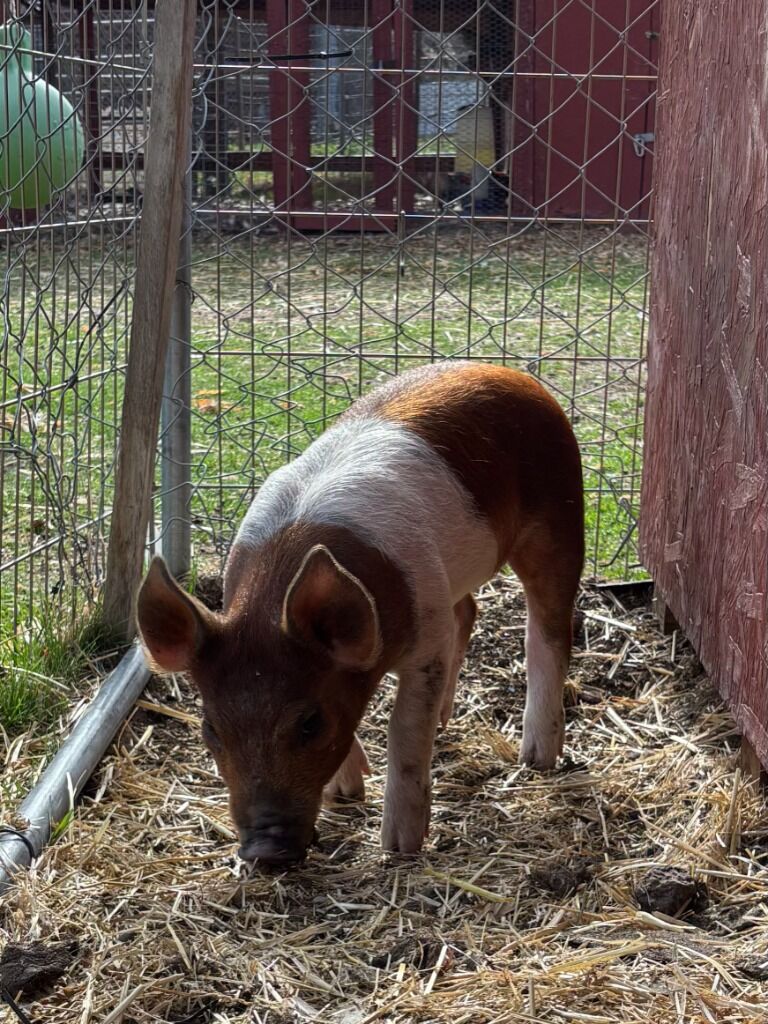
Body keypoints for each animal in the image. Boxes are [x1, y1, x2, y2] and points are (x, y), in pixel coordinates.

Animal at [136, 362, 584, 864]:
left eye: (311, 723)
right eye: (211, 728)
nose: (265, 851)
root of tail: (505, 370)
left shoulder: (425, 639)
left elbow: (404, 730)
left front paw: (399, 847)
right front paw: (345, 795)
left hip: (561, 515)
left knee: (549, 630)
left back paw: (537, 757)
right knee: (468, 611)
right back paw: (448, 720)